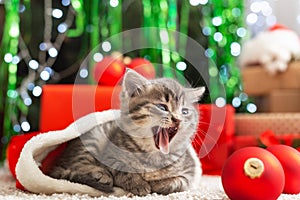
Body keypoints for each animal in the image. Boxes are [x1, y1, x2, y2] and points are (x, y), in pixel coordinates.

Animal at [49, 69, 205, 195]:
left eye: (185, 111)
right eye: (162, 107)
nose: (178, 119)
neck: (152, 157)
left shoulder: (192, 170)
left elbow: (181, 182)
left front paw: (160, 184)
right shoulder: (109, 155)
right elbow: (121, 169)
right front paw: (138, 184)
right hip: (95, 137)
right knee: (76, 163)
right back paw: (100, 173)